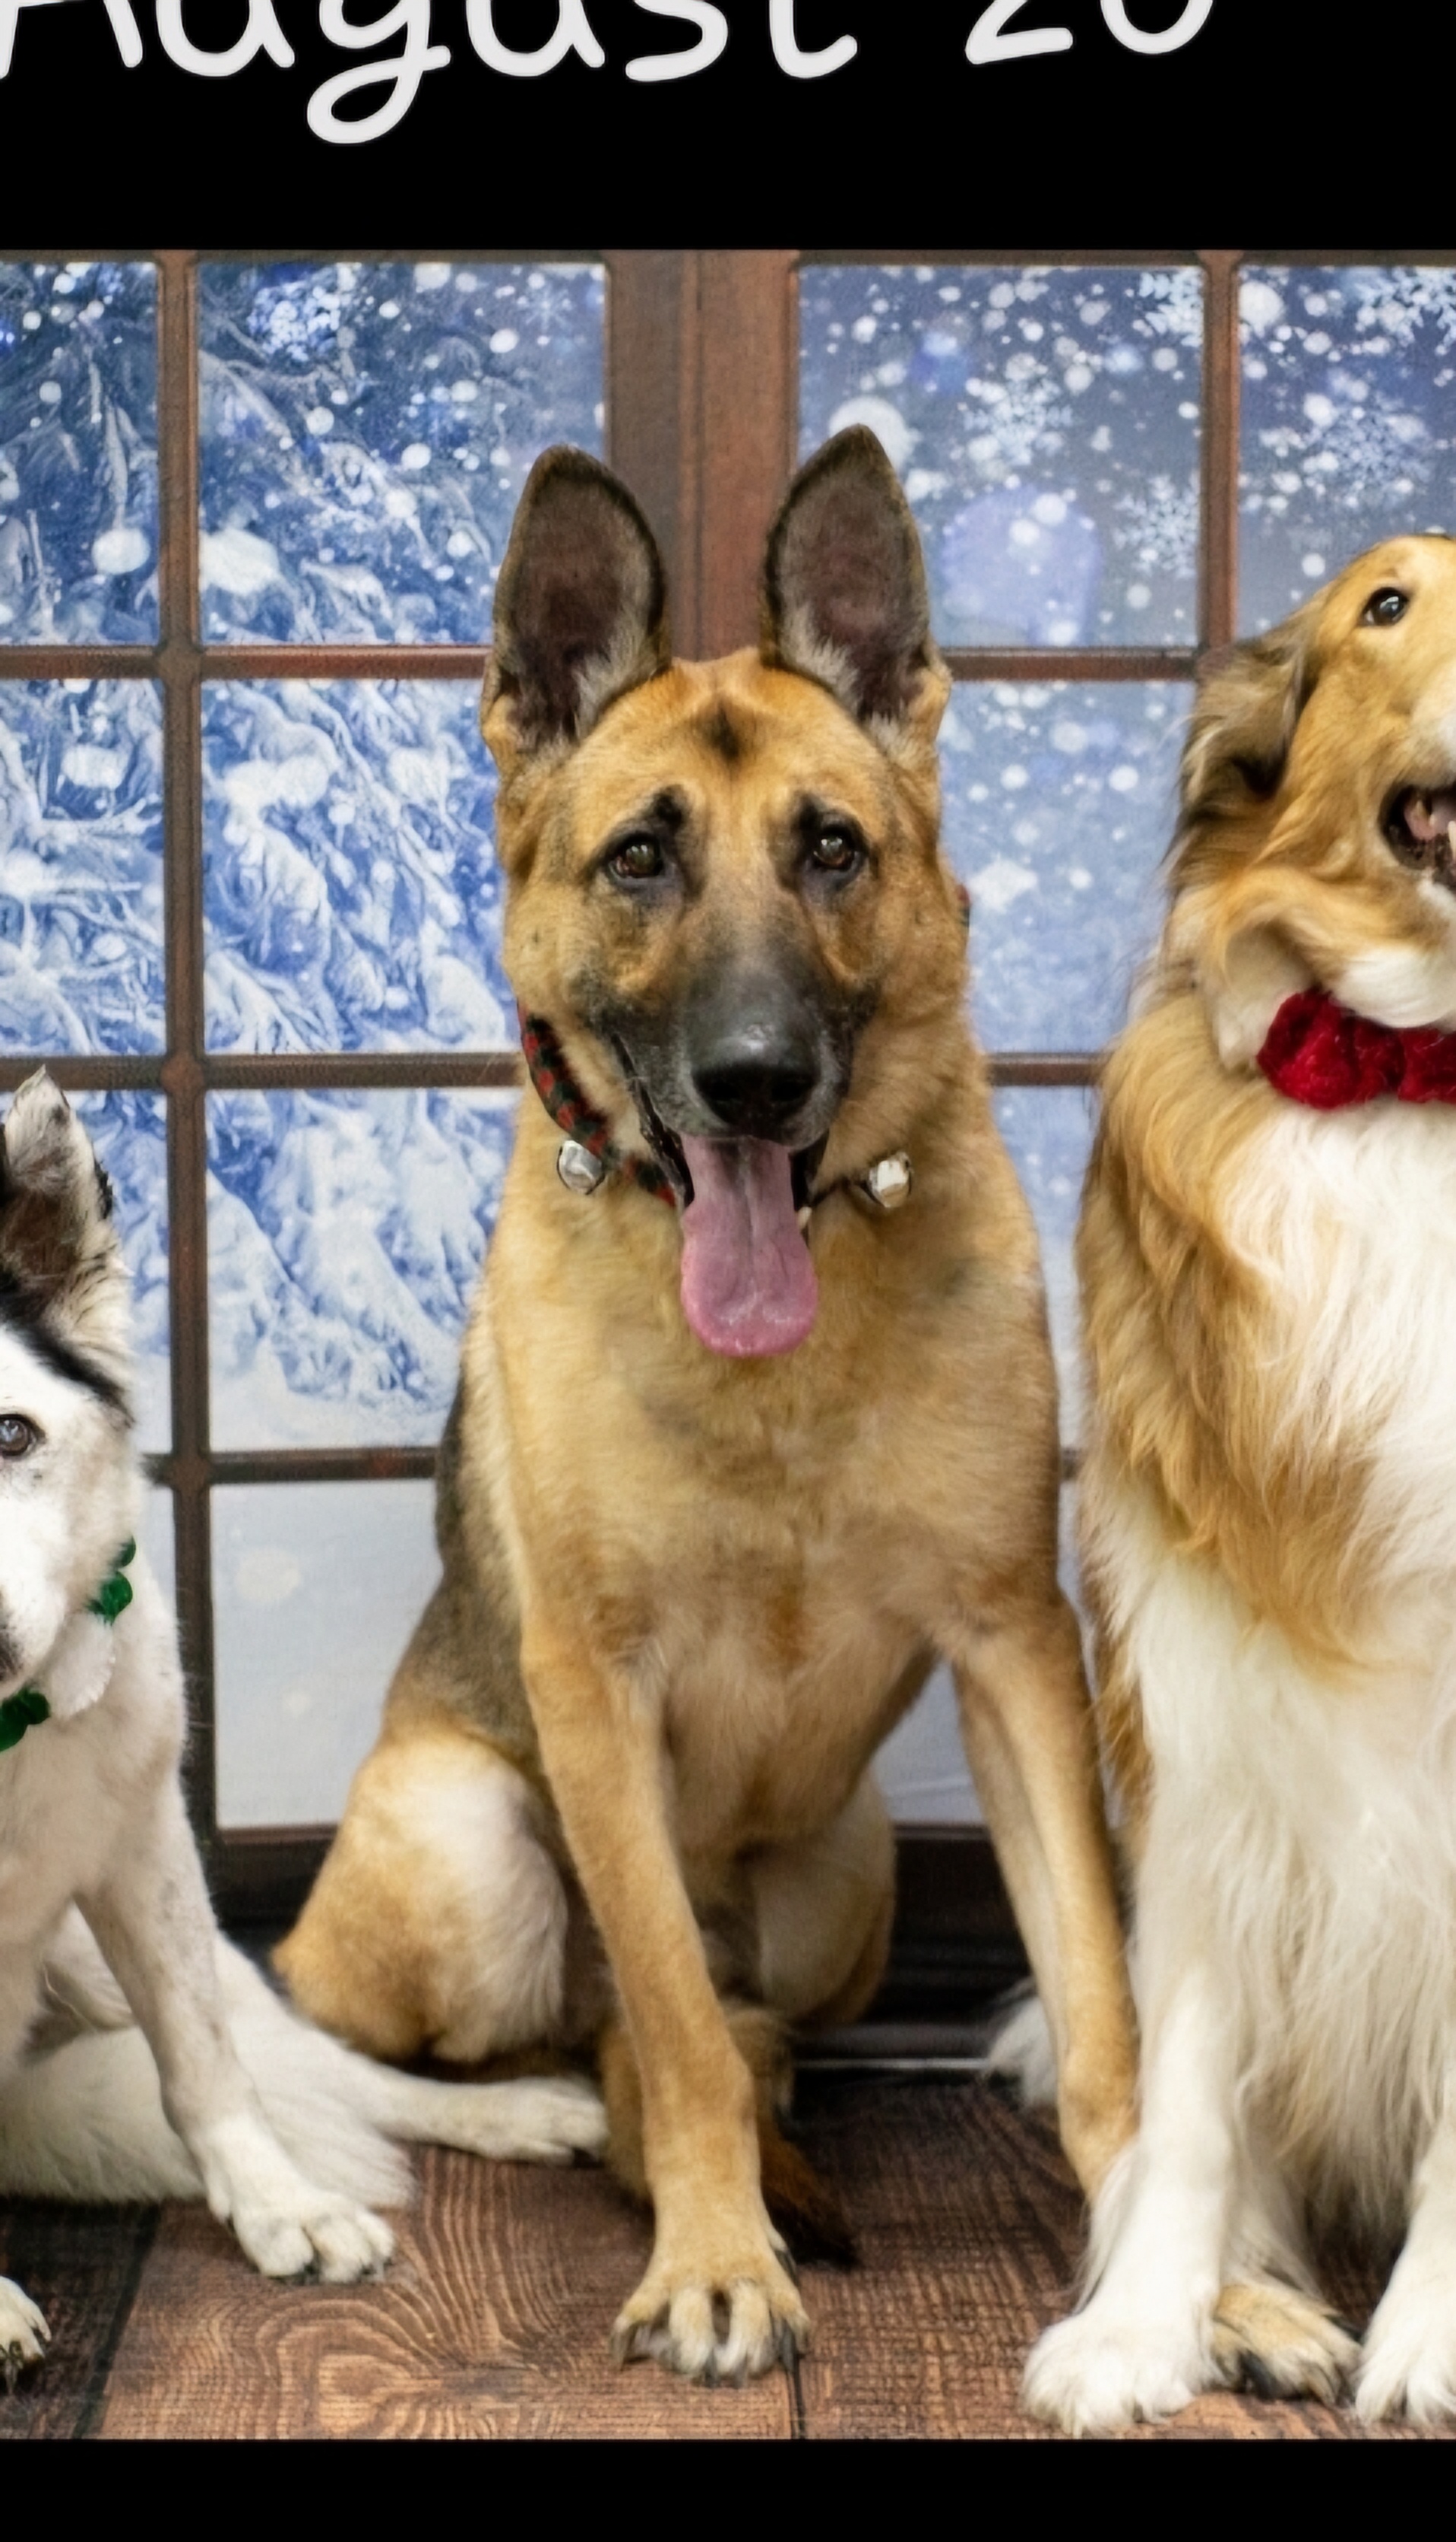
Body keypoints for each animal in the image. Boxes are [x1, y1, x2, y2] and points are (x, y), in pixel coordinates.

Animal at [0, 1071, 603, 2387]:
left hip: (103, 1951)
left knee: (316, 2064)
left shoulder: (144, 1858)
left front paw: (278, 2203)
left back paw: (509, 2113)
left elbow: (206, 2068)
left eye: (11, 1435)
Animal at [277, 426, 1137, 2384]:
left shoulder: (1013, 1652)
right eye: (641, 858)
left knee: (754, 2025)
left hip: (856, 1882)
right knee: (515, 2026)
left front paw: (1188, 2279)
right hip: (474, 1845)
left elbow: (1105, 2002)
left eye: (829, 846)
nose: (753, 1080)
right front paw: (717, 2260)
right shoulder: (593, 1695)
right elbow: (666, 2029)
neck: (773, 1367)